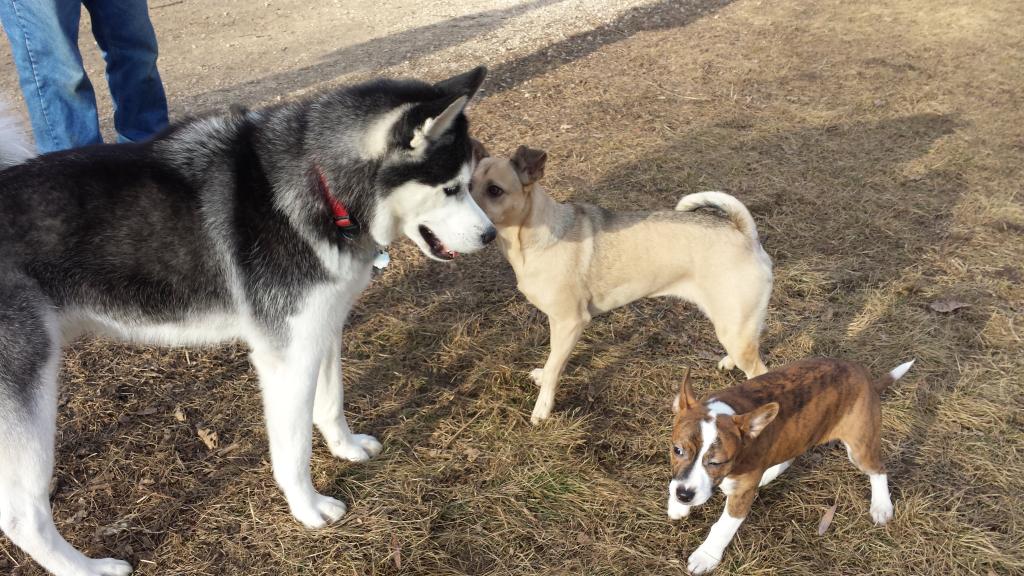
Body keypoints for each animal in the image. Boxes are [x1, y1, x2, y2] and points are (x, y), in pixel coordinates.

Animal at [475, 142, 770, 422]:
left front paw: (543, 409)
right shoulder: (558, 324)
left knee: (759, 371)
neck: (532, 237)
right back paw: (729, 362)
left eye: (495, 191)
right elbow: (552, 361)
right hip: (732, 327)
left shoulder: (570, 322)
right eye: (466, 186)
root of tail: (746, 235)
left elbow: (554, 370)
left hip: (733, 328)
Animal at [667, 356, 917, 569]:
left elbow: (723, 528)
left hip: (860, 445)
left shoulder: (740, 497)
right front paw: (678, 505)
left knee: (878, 469)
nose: (684, 495)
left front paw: (705, 556)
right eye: (677, 450)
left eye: (717, 462)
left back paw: (881, 506)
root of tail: (866, 378)